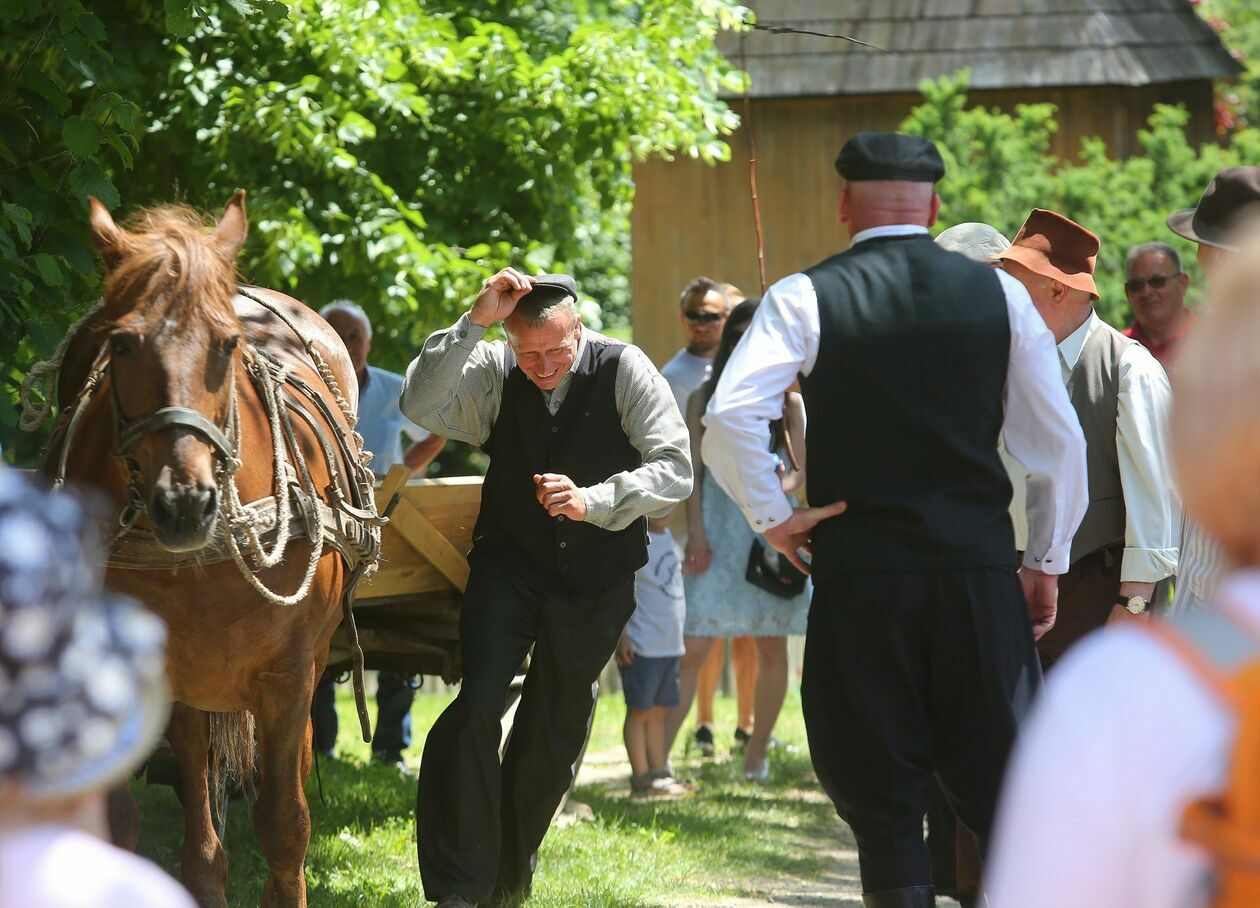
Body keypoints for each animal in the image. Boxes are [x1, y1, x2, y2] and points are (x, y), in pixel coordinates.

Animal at [36, 192, 370, 906]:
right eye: (120, 343)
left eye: (228, 343)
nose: (183, 500)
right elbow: (122, 823)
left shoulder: (289, 676)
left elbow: (285, 828)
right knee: (201, 830)